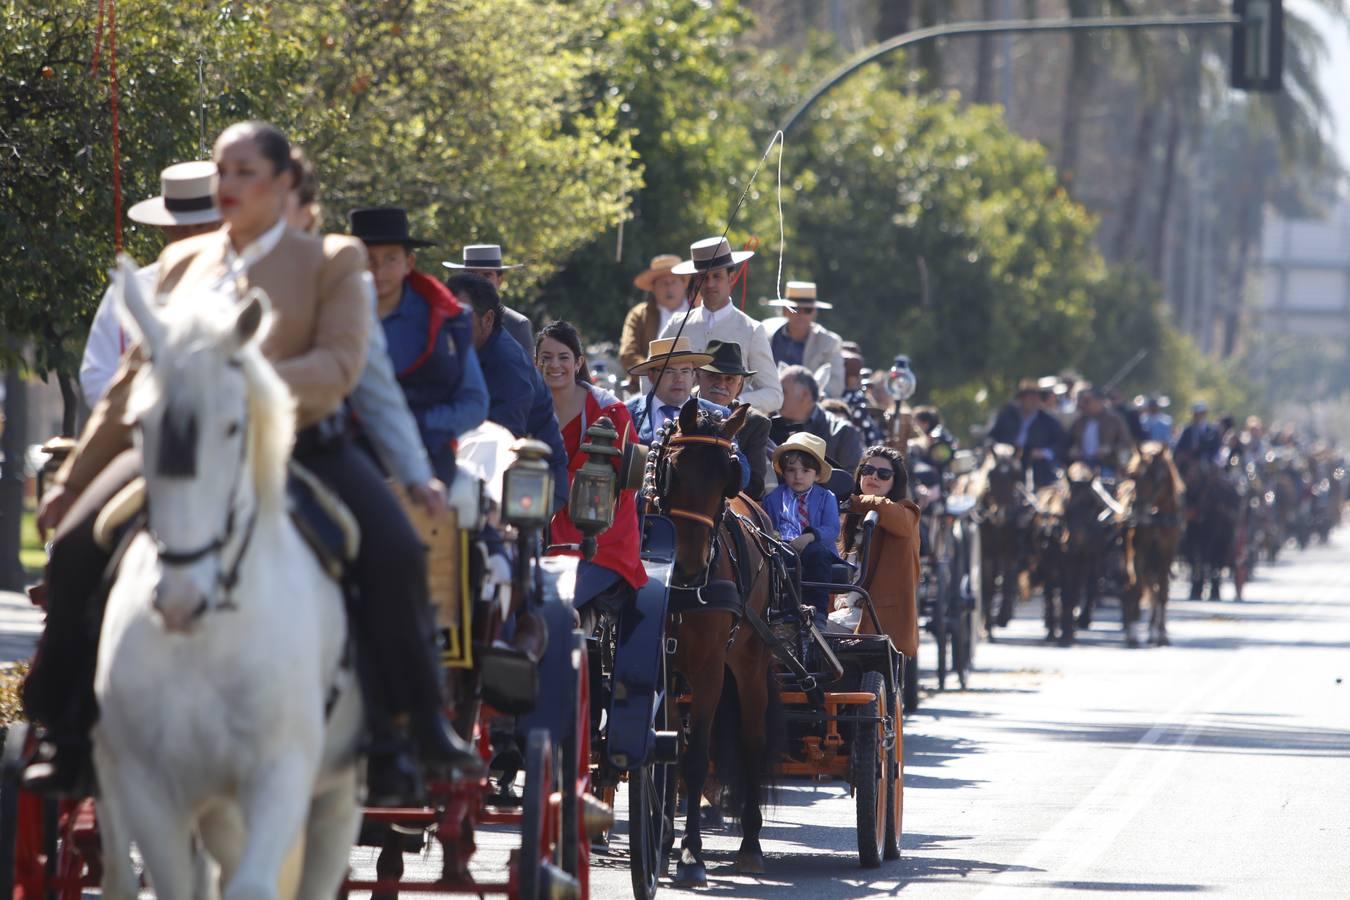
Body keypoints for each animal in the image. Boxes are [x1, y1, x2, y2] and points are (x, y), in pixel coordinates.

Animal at [93, 260, 364, 900]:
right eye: (139, 424)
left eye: (234, 426)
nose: (179, 601)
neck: (209, 637)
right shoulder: (150, 791)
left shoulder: (281, 774)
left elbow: (255, 886)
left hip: (335, 796)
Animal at [645, 396, 783, 885]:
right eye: (673, 469)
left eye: (728, 476)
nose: (688, 565)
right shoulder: (662, 667)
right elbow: (667, 748)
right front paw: (664, 839)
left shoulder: (707, 673)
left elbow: (697, 753)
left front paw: (691, 855)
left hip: (751, 664)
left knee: (752, 739)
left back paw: (751, 844)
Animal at [1117, 445, 1182, 647]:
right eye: (1133, 475)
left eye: (1156, 478)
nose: (1136, 511)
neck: (1157, 514)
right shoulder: (1139, 552)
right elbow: (1137, 588)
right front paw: (1133, 634)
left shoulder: (1166, 554)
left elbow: (1162, 592)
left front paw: (1161, 634)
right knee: (1132, 586)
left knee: (1155, 589)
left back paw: (1153, 630)